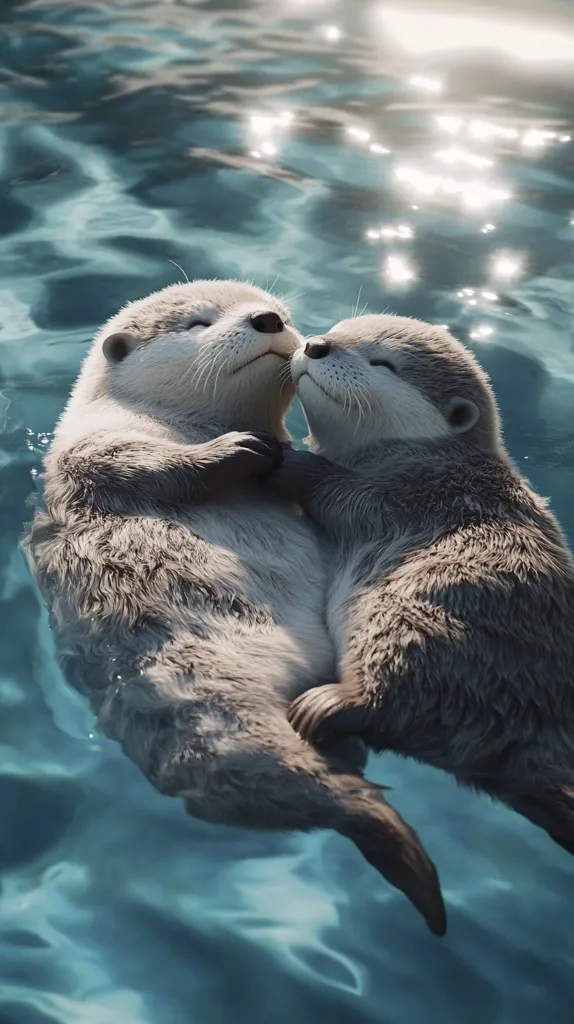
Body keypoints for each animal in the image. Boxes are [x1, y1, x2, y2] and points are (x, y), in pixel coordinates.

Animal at [23, 284, 446, 935]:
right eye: (200, 322)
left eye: (280, 310)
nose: (268, 319)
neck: (180, 424)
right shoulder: (95, 447)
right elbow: (140, 467)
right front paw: (238, 450)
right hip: (210, 709)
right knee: (292, 787)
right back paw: (402, 850)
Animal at [268, 314, 574, 855]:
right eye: (340, 329)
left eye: (382, 362)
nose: (317, 345)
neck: (425, 456)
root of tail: (532, 730)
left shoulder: (417, 494)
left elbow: (345, 498)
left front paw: (296, 463)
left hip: (417, 630)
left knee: (387, 701)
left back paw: (327, 704)